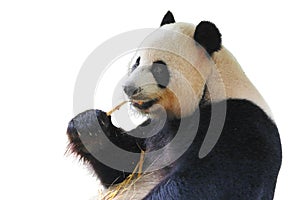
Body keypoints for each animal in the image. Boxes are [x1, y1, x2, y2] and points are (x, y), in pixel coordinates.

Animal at [67, 11, 282, 200]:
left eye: (158, 69)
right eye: (136, 62)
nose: (129, 88)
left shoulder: (238, 125)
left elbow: (204, 181)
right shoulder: (155, 128)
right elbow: (122, 167)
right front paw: (89, 126)